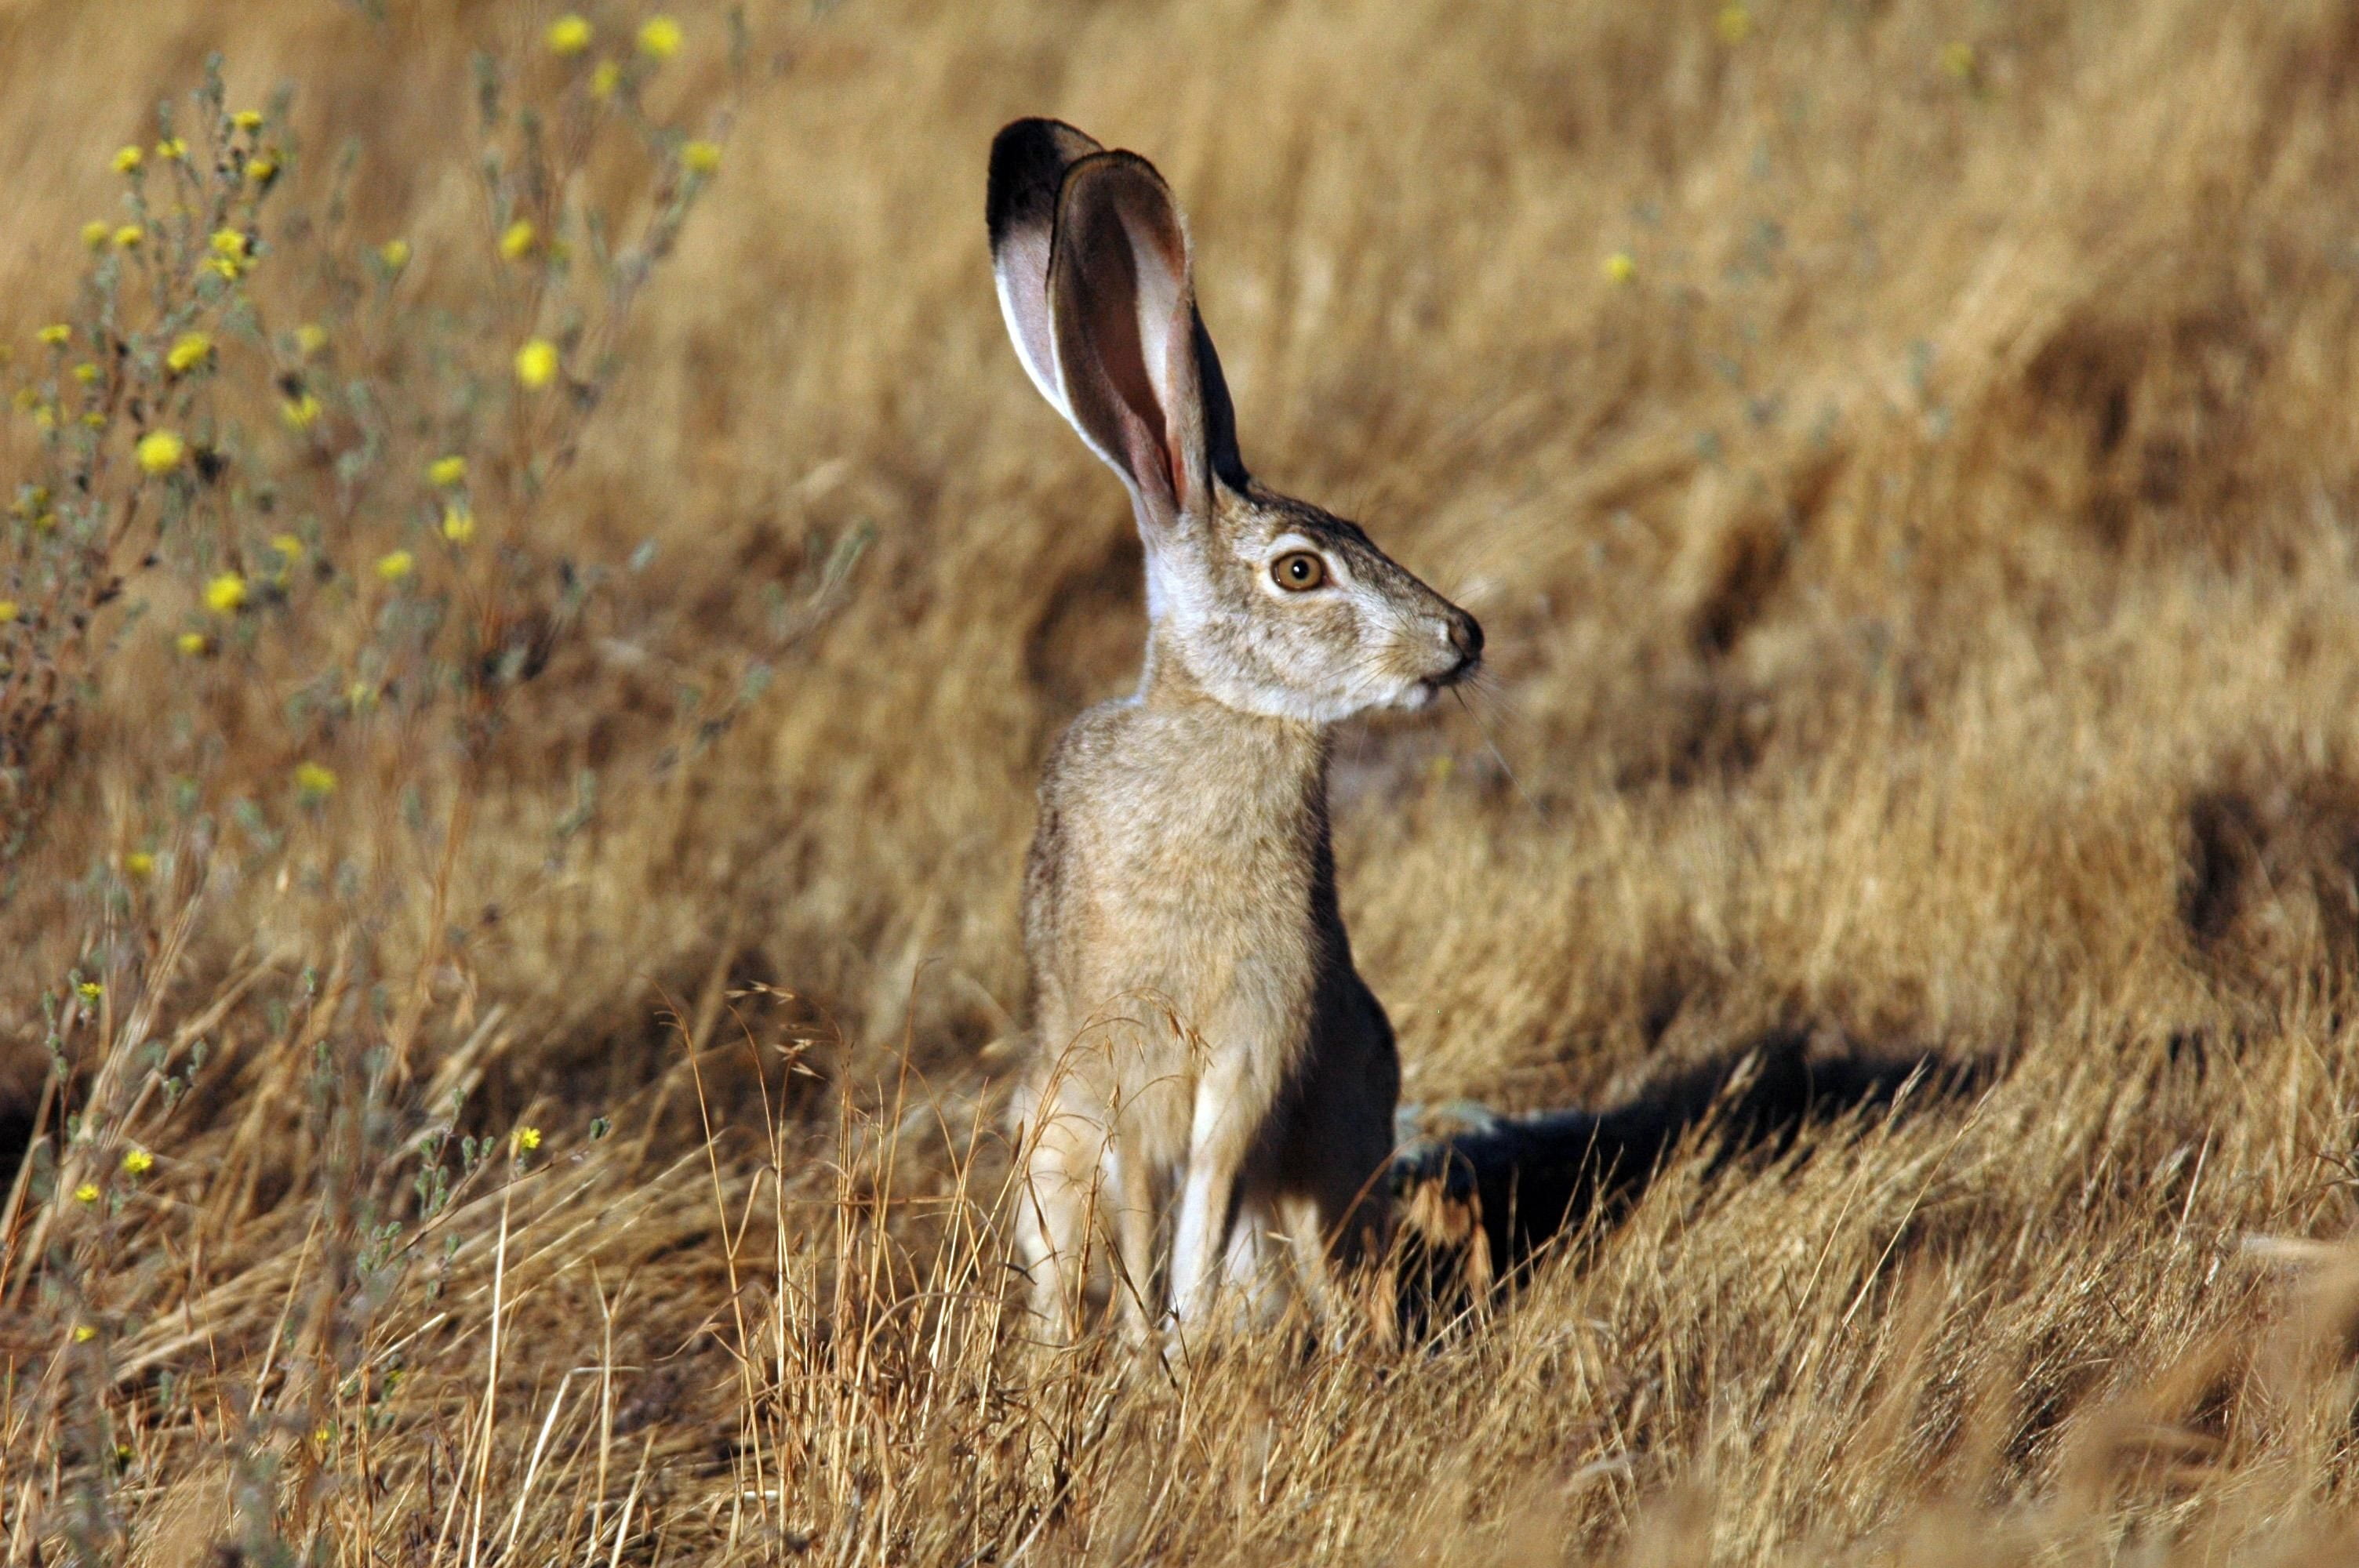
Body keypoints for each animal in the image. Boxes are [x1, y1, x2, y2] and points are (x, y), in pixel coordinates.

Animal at [988, 118, 1483, 1343]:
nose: (1461, 637)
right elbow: (1144, 1197)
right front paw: (1146, 1350)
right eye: (1300, 571)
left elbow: (1209, 1187)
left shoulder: (1261, 1040)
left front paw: (1184, 1330)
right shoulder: (1123, 1052)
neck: (1223, 715)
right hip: (1049, 1128)